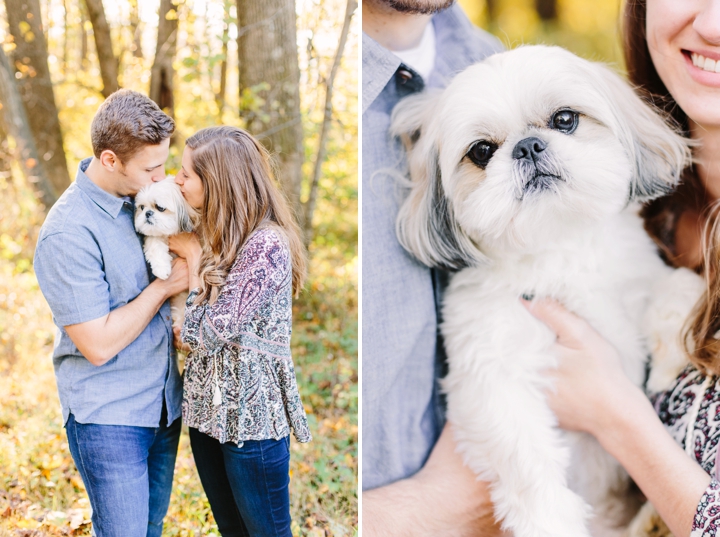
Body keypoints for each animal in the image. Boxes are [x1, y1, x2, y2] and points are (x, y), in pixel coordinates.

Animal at [390, 46, 700, 536]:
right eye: (481, 151)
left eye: (565, 119)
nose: (528, 146)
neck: (556, 246)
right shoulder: (491, 371)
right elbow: (525, 458)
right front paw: (549, 518)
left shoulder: (641, 280)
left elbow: (679, 288)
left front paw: (668, 366)